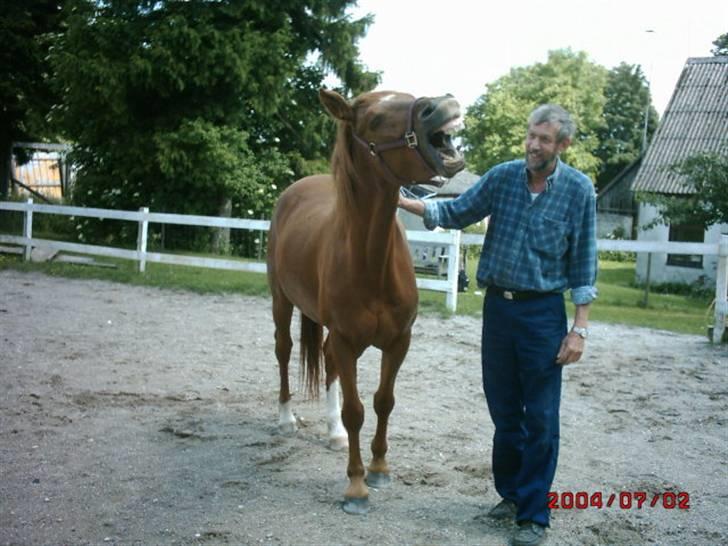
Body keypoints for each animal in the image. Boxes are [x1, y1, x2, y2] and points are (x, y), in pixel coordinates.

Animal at [268, 88, 466, 510]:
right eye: (373, 119)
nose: (442, 104)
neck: (372, 263)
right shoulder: (347, 341)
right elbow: (356, 410)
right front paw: (356, 486)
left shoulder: (399, 342)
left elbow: (383, 402)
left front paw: (379, 469)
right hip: (281, 301)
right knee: (284, 350)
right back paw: (286, 420)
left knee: (325, 361)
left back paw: (334, 434)